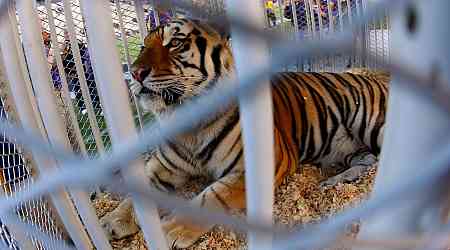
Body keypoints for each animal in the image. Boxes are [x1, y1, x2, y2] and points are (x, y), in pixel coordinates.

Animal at [100, 17, 388, 248]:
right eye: (142, 46)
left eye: (176, 43)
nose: (135, 73)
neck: (188, 125)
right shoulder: (163, 166)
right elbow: (136, 194)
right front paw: (113, 220)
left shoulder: (258, 167)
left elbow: (210, 198)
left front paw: (169, 229)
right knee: (368, 160)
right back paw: (333, 181)